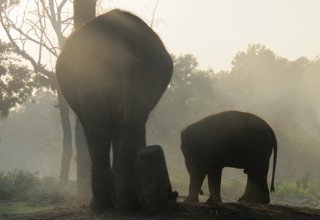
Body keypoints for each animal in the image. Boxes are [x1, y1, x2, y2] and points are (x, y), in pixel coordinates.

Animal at [56, 9, 174, 211]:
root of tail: (122, 39)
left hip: (95, 73)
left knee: (103, 129)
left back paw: (110, 204)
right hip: (137, 71)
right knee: (124, 125)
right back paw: (122, 204)